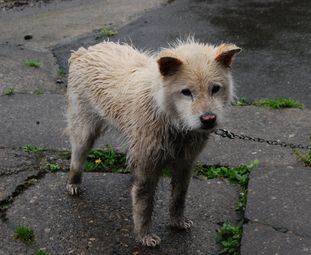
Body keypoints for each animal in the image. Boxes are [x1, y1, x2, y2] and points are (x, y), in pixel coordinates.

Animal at [66, 38, 241, 247]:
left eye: (215, 88)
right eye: (186, 92)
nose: (209, 119)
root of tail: (84, 51)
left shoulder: (185, 162)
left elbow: (179, 196)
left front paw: (177, 221)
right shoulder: (148, 164)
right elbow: (144, 204)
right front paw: (144, 235)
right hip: (85, 130)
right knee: (77, 156)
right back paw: (74, 182)